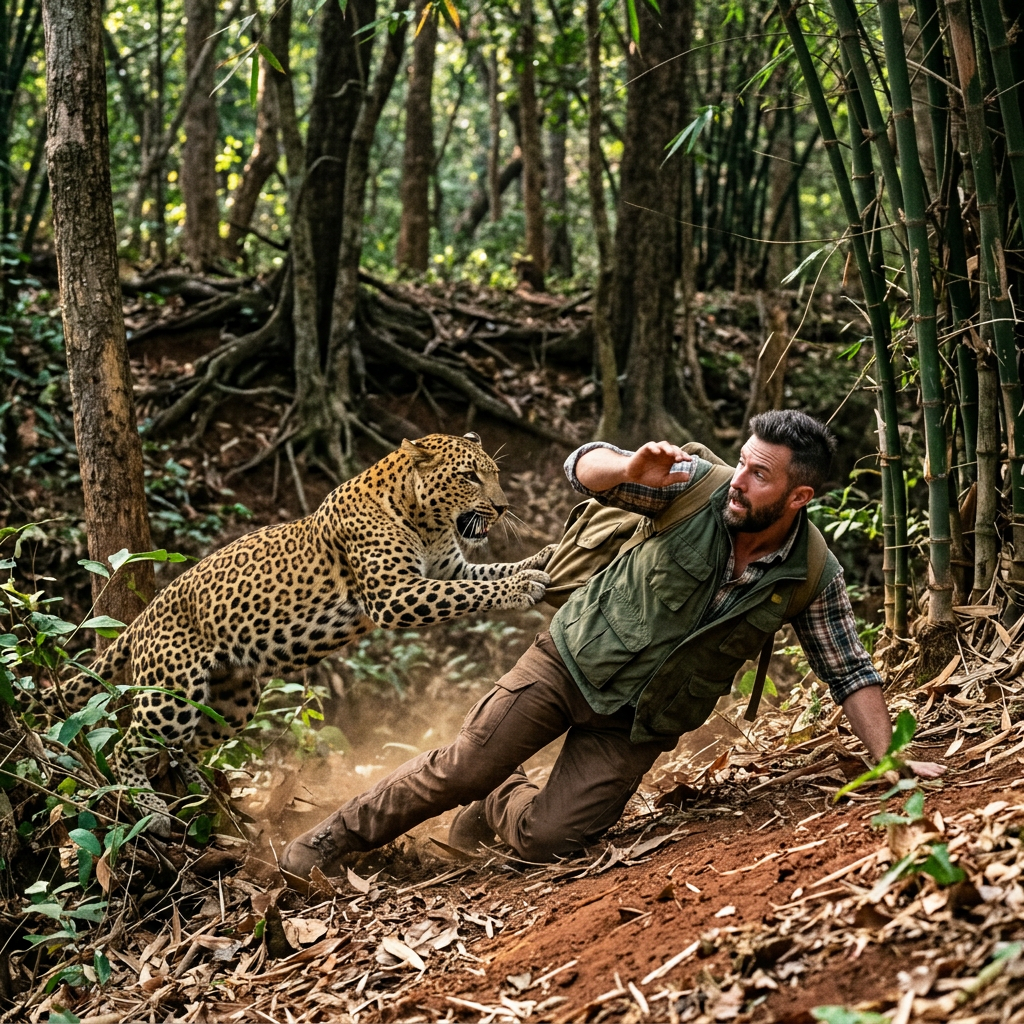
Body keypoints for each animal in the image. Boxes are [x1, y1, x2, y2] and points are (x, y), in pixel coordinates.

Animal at [31, 433, 554, 836]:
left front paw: (540, 558)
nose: (503, 506)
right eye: (469, 477)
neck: (426, 521)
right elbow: (471, 594)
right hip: (171, 693)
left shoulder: (447, 569)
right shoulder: (394, 596)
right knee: (127, 746)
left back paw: (207, 793)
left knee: (187, 745)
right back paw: (153, 810)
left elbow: (485, 575)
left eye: (494, 473)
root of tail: (144, 616)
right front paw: (521, 586)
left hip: (232, 701)